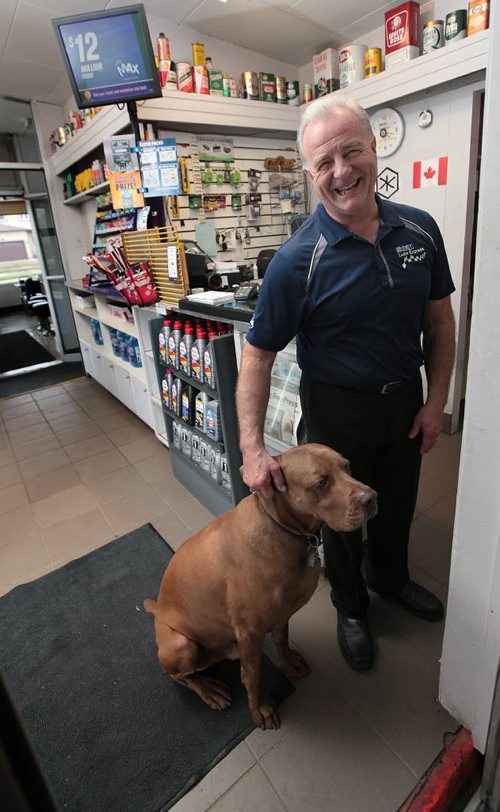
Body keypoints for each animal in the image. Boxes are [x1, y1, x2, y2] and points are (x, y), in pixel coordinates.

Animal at [144, 444, 376, 728]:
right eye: (320, 483)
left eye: (347, 466)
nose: (371, 497)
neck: (285, 532)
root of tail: (157, 610)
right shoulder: (249, 631)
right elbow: (252, 677)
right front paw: (260, 709)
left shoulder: (281, 614)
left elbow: (282, 640)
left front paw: (288, 664)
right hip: (181, 646)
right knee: (180, 676)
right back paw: (208, 689)